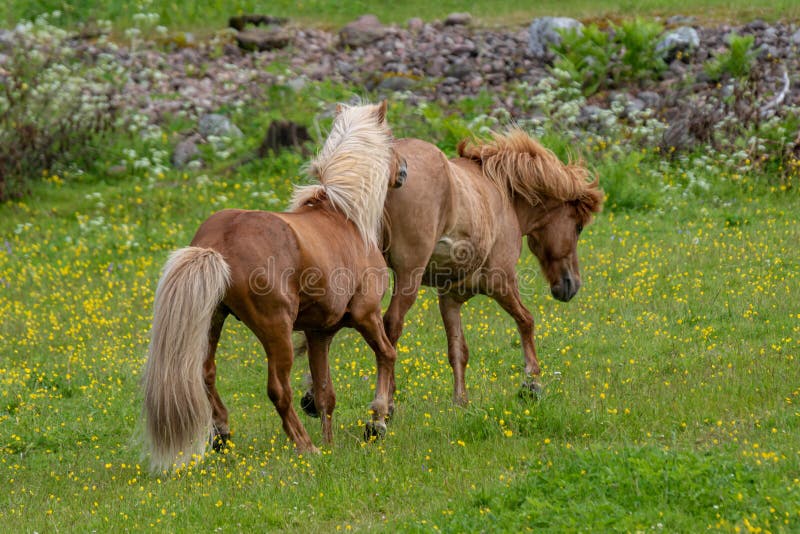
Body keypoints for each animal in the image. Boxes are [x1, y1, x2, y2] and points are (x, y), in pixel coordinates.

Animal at [141, 101, 404, 474]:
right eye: (392, 139)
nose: (404, 172)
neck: (346, 216)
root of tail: (217, 245)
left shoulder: (319, 332)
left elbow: (325, 393)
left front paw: (332, 444)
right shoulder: (367, 315)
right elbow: (387, 355)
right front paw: (377, 421)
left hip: (213, 320)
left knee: (206, 373)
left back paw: (223, 433)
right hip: (275, 331)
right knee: (278, 389)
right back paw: (306, 447)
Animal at [300, 127, 600, 412]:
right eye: (578, 227)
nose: (571, 285)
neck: (502, 192)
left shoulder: (450, 298)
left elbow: (458, 350)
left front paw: (461, 402)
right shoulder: (501, 280)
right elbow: (526, 321)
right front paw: (532, 383)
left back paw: (315, 396)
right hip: (407, 276)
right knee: (390, 326)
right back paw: (383, 407)